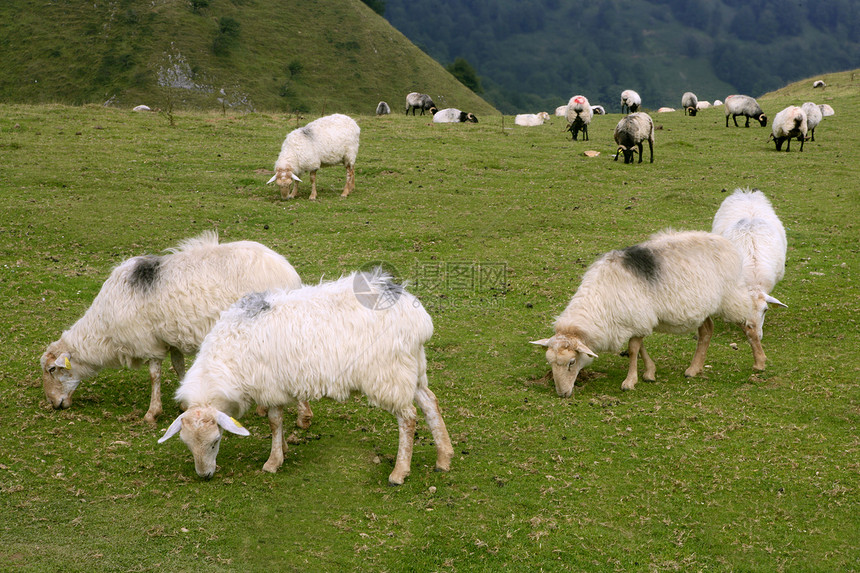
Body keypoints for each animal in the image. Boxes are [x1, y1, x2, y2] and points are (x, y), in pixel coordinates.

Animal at [41, 231, 310, 424]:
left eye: (52, 370)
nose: (55, 404)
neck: (104, 329)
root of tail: (290, 273)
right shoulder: (169, 339)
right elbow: (179, 367)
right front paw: (183, 402)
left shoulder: (148, 342)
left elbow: (154, 375)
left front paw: (152, 414)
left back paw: (303, 417)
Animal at [161, 270, 456, 484]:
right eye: (187, 445)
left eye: (215, 442)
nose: (204, 476)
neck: (227, 359)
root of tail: (417, 315)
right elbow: (277, 423)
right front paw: (282, 449)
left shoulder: (270, 387)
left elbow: (274, 421)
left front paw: (273, 461)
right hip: (412, 368)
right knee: (430, 403)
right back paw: (444, 458)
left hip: (389, 375)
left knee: (408, 417)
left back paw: (399, 472)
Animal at [532, 228, 764, 394]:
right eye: (550, 362)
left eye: (571, 362)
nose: (562, 393)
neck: (600, 302)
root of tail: (726, 242)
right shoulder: (638, 319)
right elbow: (640, 347)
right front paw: (650, 372)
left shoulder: (638, 318)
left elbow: (634, 349)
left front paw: (629, 381)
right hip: (705, 305)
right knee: (706, 330)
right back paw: (693, 369)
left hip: (730, 295)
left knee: (749, 324)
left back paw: (759, 363)